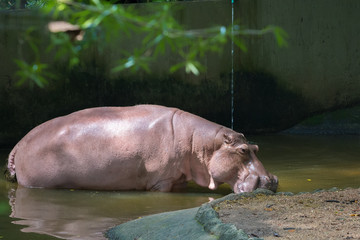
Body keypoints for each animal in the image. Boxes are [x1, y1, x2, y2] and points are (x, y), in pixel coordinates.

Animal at [6, 105, 278, 193]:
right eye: (243, 151)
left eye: (256, 146)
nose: (270, 180)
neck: (203, 145)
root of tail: (19, 143)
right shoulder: (162, 182)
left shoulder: (178, 178)